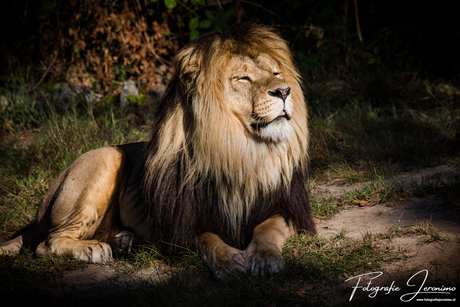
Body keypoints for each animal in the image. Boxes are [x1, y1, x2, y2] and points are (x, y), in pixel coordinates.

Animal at [0, 24, 316, 282]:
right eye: (243, 78)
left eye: (275, 73)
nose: (284, 91)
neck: (242, 153)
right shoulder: (180, 227)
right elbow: (208, 239)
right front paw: (227, 261)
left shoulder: (288, 207)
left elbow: (268, 228)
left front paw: (264, 258)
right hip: (106, 158)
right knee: (46, 244)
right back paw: (94, 248)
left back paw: (123, 242)